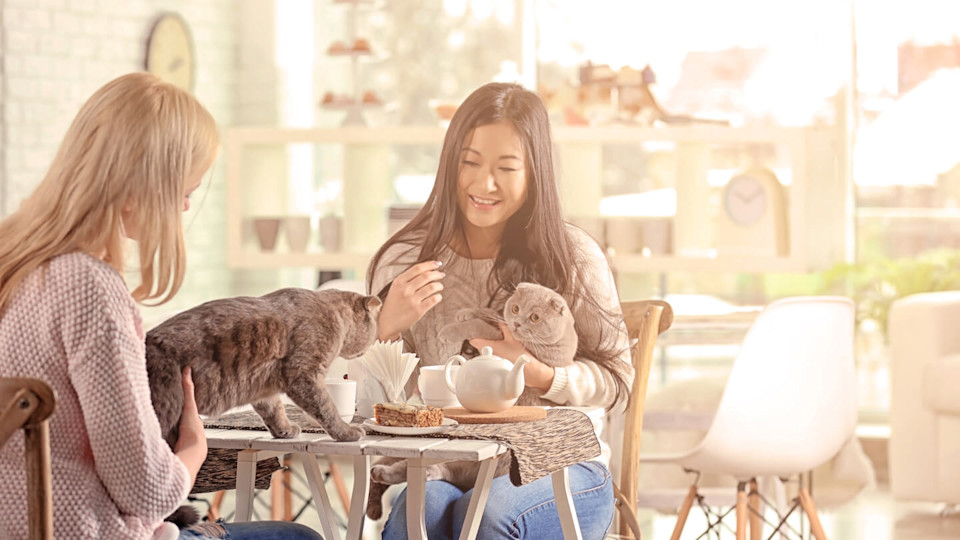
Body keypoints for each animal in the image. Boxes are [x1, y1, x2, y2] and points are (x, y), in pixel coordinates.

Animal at [146, 286, 378, 528]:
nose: (373, 342)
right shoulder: (304, 375)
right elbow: (327, 409)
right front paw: (347, 432)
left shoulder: (265, 390)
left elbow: (276, 411)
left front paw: (285, 431)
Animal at [366, 282, 576, 520]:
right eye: (515, 308)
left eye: (535, 317)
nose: (518, 322)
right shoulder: (502, 323)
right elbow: (491, 314)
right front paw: (467, 312)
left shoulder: (501, 338)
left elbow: (479, 326)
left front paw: (451, 329)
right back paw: (375, 497)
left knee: (428, 470)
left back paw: (392, 475)